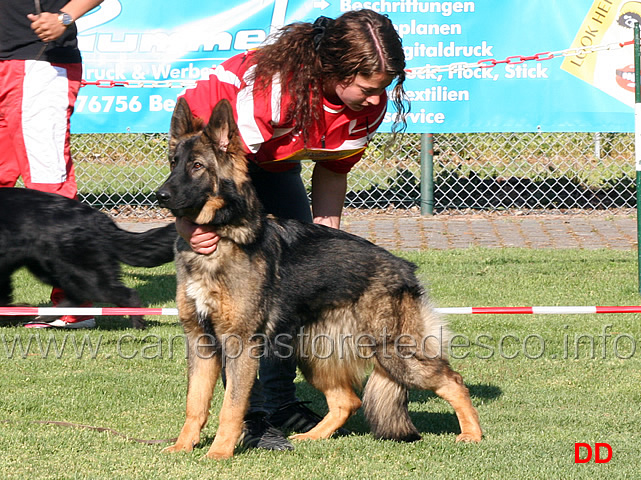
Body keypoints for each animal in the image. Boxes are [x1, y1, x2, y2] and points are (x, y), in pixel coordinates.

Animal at [0, 186, 176, 328]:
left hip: (78, 272)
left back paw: (138, 325)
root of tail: (98, 219)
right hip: (48, 267)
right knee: (77, 297)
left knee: (125, 295)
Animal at [156, 96, 480, 458]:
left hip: (394, 354)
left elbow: (232, 406)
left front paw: (219, 453)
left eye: (197, 166)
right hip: (314, 353)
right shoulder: (200, 341)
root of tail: (403, 268)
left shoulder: (240, 345)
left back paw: (472, 434)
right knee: (347, 401)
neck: (221, 235)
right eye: (173, 163)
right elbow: (195, 404)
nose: (160, 195)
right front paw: (183, 446)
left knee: (453, 381)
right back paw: (312, 436)